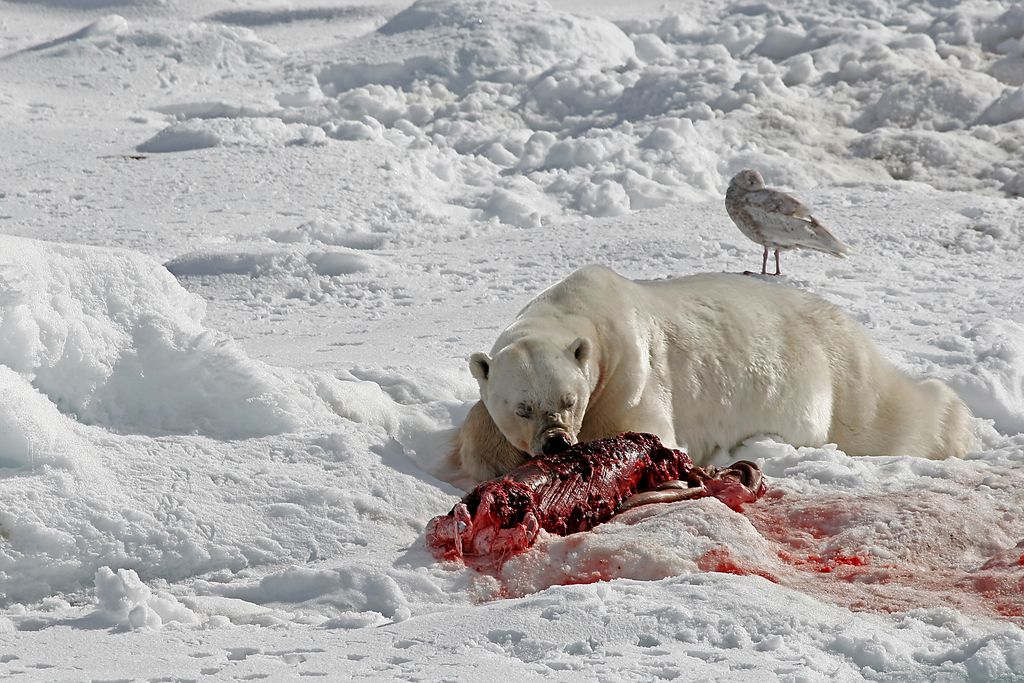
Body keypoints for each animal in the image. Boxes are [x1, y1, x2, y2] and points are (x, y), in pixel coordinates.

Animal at [454, 264, 974, 483]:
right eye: (522, 408)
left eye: (568, 399)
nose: (557, 442)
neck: (583, 313)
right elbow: (480, 430)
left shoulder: (630, 378)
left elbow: (643, 432)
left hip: (841, 373)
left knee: (888, 418)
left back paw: (952, 426)